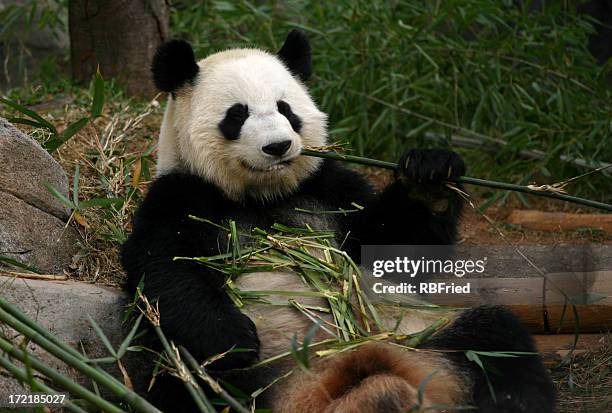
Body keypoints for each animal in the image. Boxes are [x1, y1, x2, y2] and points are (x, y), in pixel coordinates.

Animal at [119, 29, 556, 412]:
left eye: (286, 109)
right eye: (237, 115)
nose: (278, 146)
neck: (263, 195)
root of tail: (336, 371)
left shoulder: (329, 188)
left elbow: (395, 248)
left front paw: (429, 177)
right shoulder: (181, 196)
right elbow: (167, 269)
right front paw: (234, 339)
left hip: (417, 331)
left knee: (495, 338)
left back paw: (510, 401)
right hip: (239, 375)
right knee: (187, 379)